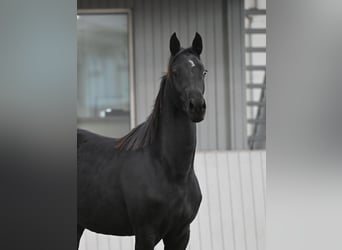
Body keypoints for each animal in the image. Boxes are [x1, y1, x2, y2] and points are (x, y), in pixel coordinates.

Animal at [77, 33, 206, 250]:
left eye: (203, 71)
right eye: (176, 72)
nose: (196, 106)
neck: (171, 171)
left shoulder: (180, 234)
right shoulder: (146, 233)